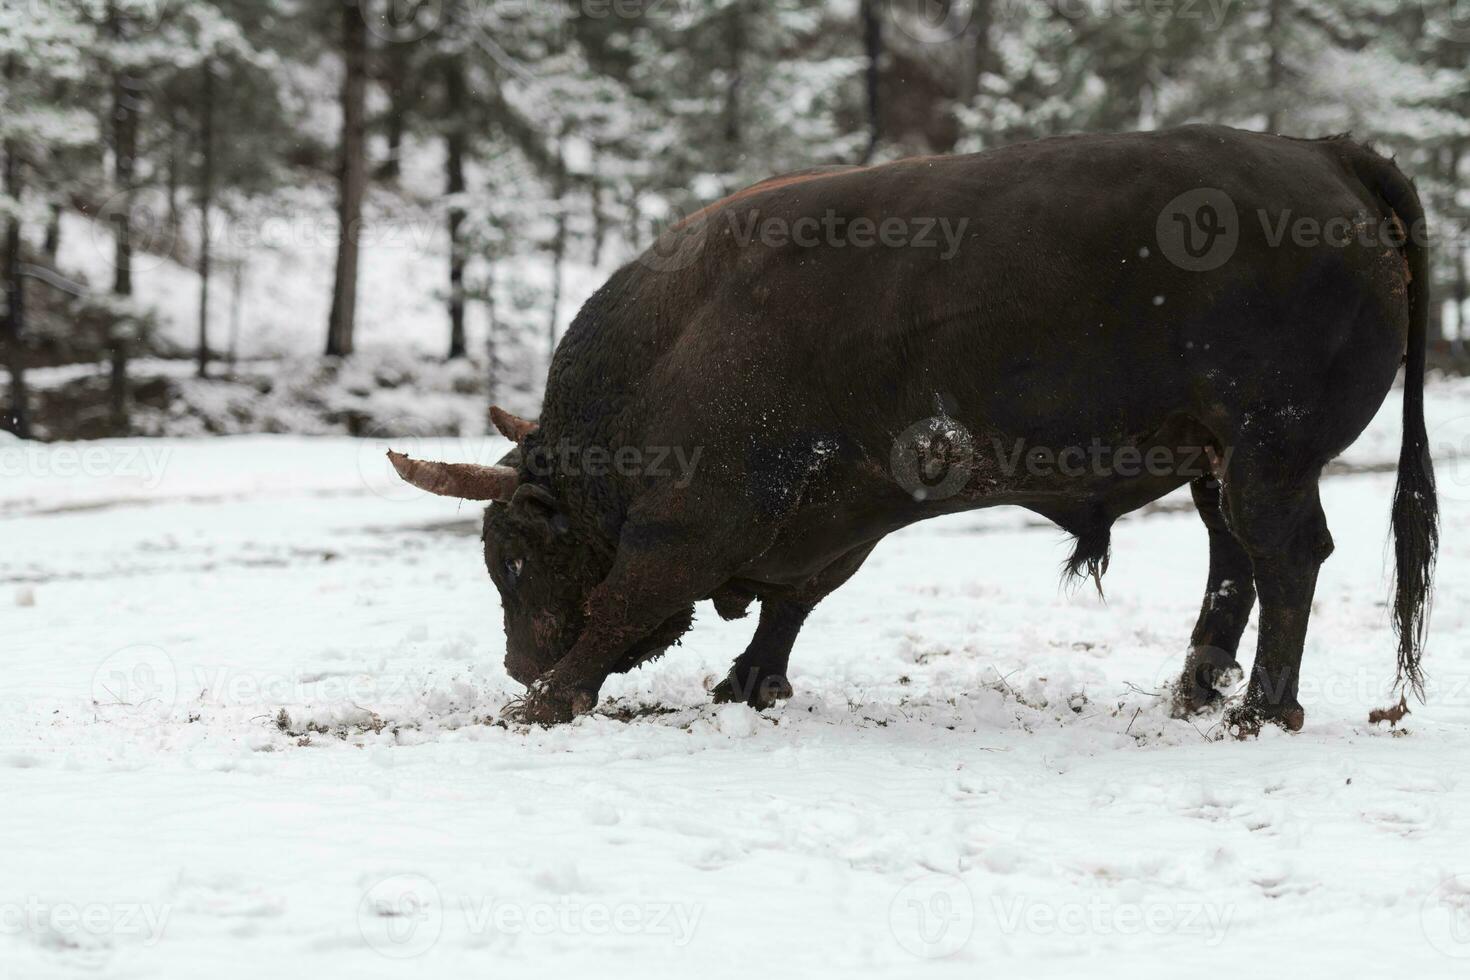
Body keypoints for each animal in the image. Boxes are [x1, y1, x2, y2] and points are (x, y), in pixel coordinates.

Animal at [388, 126, 1434, 731]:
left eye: (514, 553)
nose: (518, 658)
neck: (678, 336)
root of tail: (1329, 153)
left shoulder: (702, 511)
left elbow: (628, 598)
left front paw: (546, 699)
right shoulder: (833, 510)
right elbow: (791, 599)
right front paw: (747, 682)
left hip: (1268, 453)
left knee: (1287, 557)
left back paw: (1261, 709)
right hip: (1217, 462)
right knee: (1235, 565)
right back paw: (1192, 693)